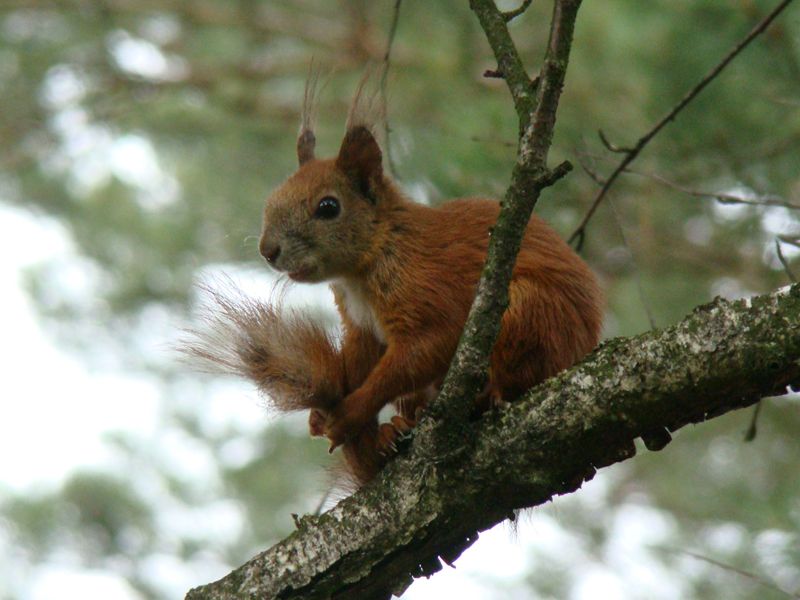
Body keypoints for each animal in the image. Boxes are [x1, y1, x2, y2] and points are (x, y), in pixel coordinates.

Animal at [188, 78, 600, 482]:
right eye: (273, 197)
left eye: (328, 207)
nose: (267, 250)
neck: (361, 270)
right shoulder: (360, 325)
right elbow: (359, 362)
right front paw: (323, 416)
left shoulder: (426, 290)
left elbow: (423, 350)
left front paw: (350, 412)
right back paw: (397, 429)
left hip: (531, 313)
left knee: (520, 373)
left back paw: (487, 395)